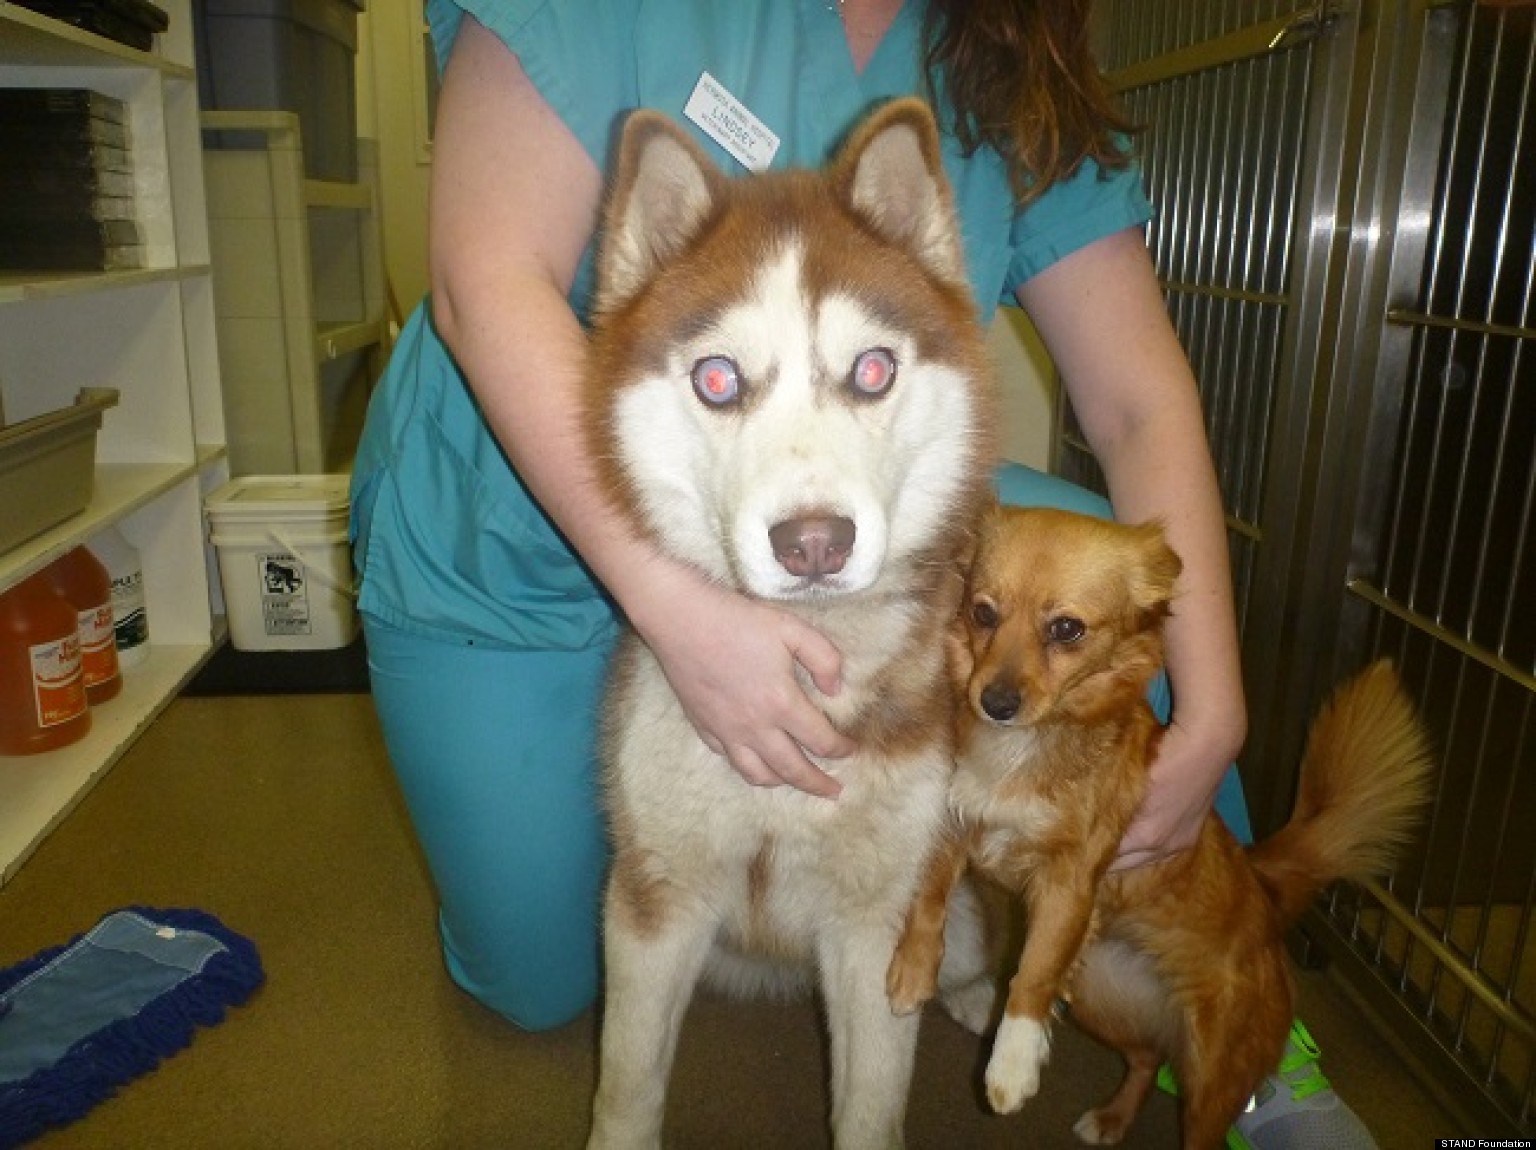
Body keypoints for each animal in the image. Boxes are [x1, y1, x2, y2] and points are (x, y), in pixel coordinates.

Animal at [884, 509, 1431, 1148]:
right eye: (983, 612)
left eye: (1066, 628)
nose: (994, 701)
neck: (1022, 747)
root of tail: (1265, 894)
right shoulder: (951, 820)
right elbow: (928, 896)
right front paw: (913, 970)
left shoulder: (1070, 885)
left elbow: (1034, 974)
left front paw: (1012, 1064)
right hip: (1099, 997)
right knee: (1146, 1058)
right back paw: (1113, 1118)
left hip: (1213, 1078)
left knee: (1199, 1121)